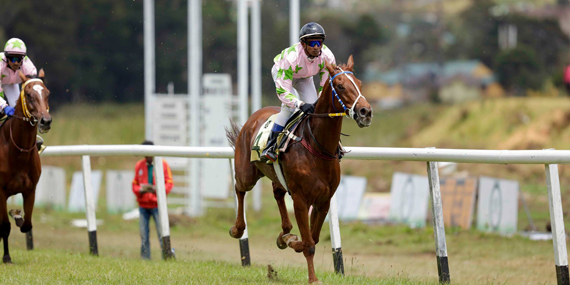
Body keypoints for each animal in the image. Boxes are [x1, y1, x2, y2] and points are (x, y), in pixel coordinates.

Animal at [0, 69, 51, 262]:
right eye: (28, 94)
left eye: (47, 93)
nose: (45, 121)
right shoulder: (1, 191)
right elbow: (4, 226)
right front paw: (7, 257)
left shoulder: (30, 190)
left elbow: (26, 225)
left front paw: (17, 214)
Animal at [226, 55, 372, 282]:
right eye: (340, 86)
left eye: (359, 83)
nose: (365, 112)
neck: (317, 146)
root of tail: (254, 116)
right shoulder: (301, 200)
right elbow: (309, 244)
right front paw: (313, 279)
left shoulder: (324, 200)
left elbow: (313, 237)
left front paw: (290, 241)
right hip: (246, 173)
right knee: (239, 188)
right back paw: (237, 229)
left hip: (277, 177)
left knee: (277, 193)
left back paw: (284, 233)